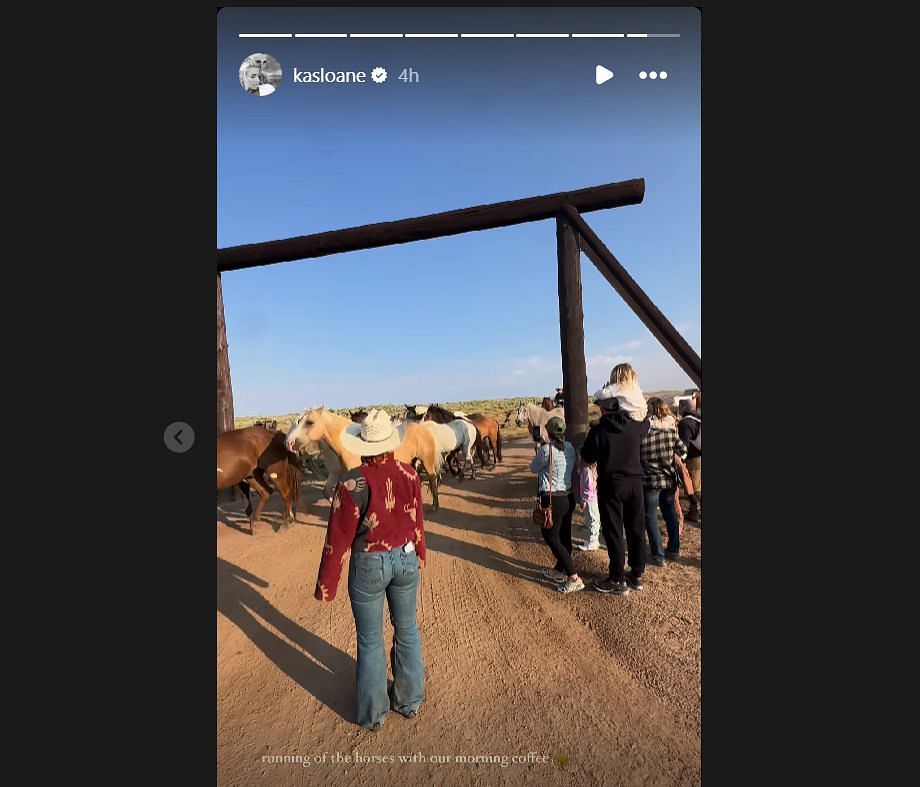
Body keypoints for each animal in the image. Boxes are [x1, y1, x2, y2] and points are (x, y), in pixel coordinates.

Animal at [288, 406, 446, 510]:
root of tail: (425, 427)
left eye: (309, 422)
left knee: (432, 479)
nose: (289, 442)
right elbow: (327, 492)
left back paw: (435, 506)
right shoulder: (336, 474)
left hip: (427, 461)